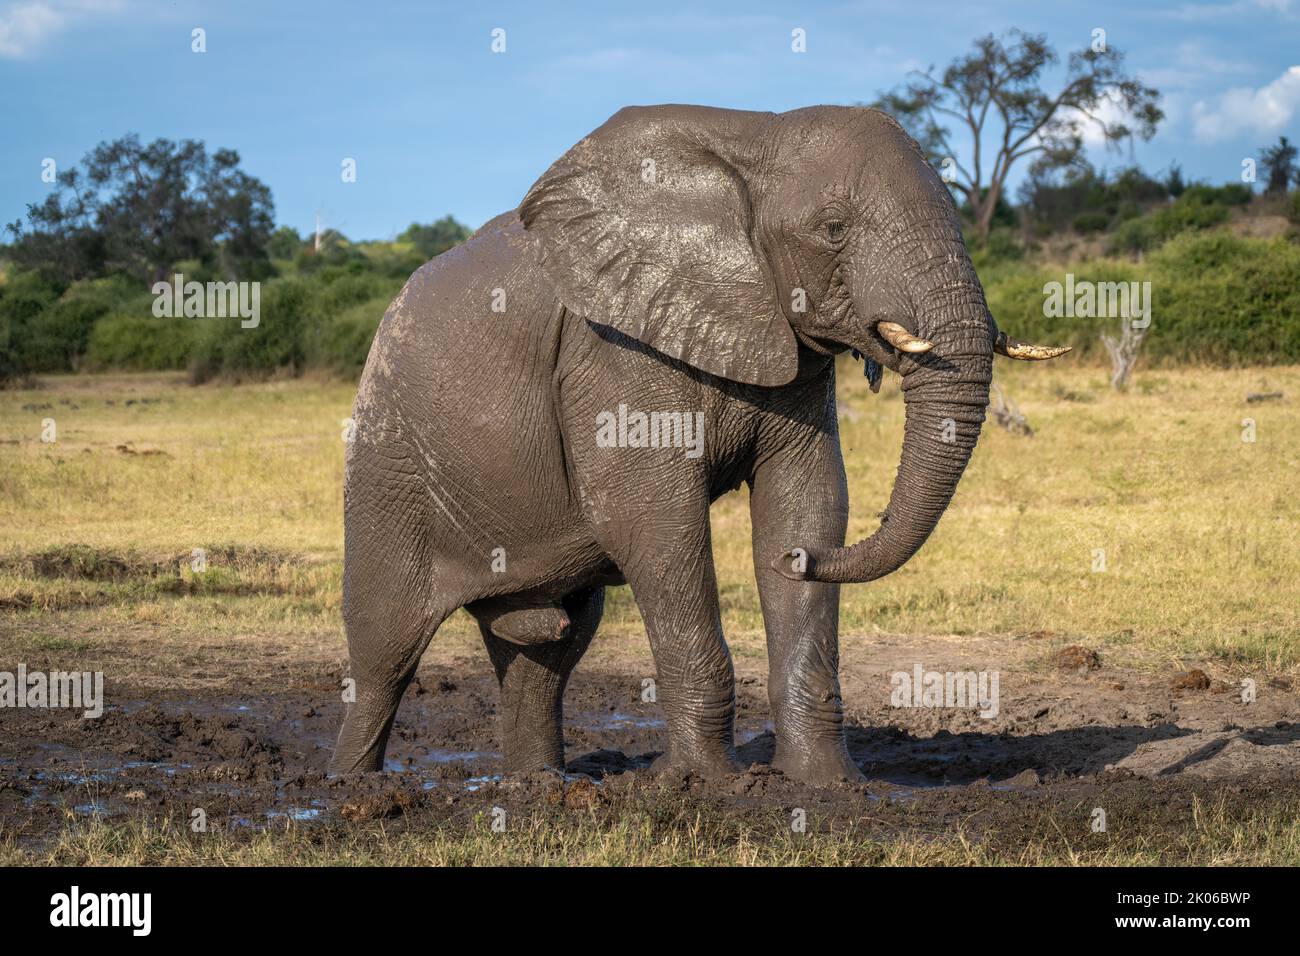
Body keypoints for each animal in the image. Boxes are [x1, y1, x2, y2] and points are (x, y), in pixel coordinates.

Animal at [330, 104, 1067, 786]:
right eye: (833, 229)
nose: (804, 562)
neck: (754, 136)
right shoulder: (614, 349)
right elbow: (654, 519)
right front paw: (705, 786)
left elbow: (807, 498)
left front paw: (825, 785)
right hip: (389, 457)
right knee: (385, 646)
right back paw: (354, 792)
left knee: (550, 645)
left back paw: (537, 788)